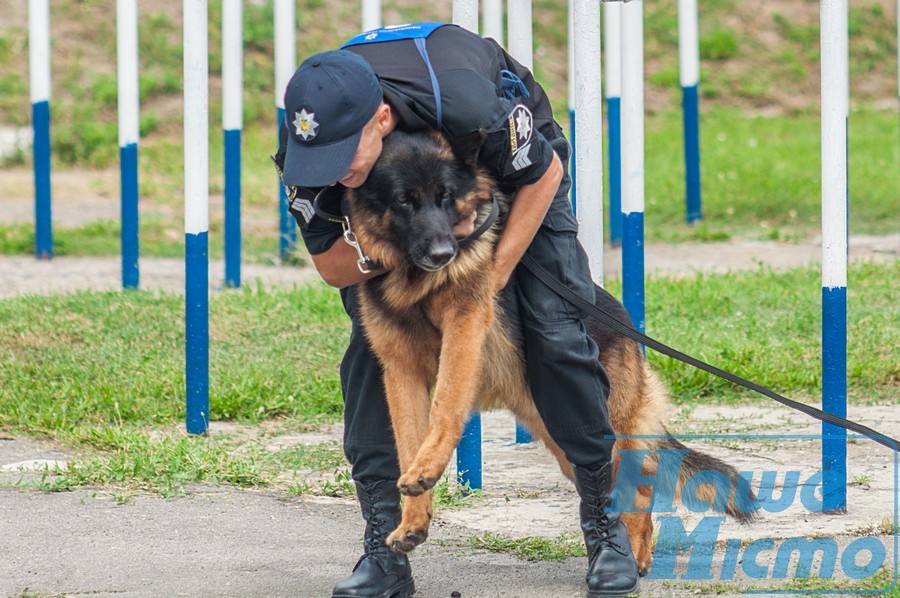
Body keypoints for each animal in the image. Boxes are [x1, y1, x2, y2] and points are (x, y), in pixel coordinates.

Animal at [342, 129, 756, 576]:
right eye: (404, 200)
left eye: (446, 196)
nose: (443, 254)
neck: (413, 282)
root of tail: (624, 321)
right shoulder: (399, 370)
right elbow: (406, 442)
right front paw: (413, 517)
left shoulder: (464, 330)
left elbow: (446, 405)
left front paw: (428, 467)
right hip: (558, 435)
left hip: (598, 422)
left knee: (636, 485)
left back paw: (632, 558)